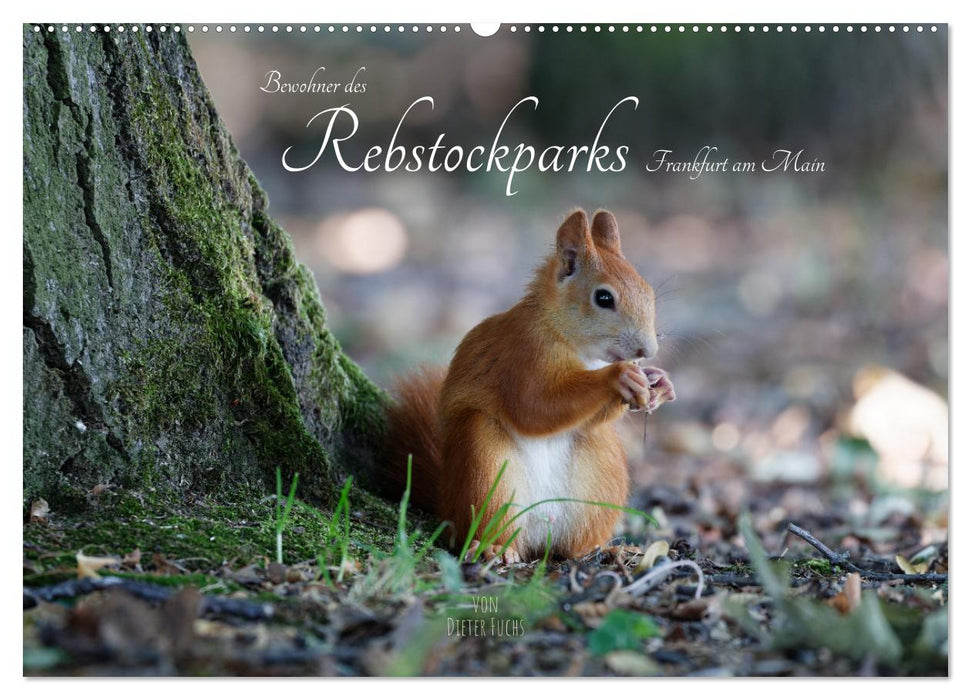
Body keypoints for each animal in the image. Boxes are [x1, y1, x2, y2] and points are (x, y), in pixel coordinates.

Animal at [384, 209, 672, 564]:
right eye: (603, 298)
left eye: (648, 291)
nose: (649, 350)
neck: (570, 340)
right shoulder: (522, 356)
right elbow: (533, 407)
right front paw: (618, 377)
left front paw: (659, 384)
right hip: (484, 464)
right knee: (487, 526)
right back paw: (492, 547)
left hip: (601, 472)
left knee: (572, 545)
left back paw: (604, 549)